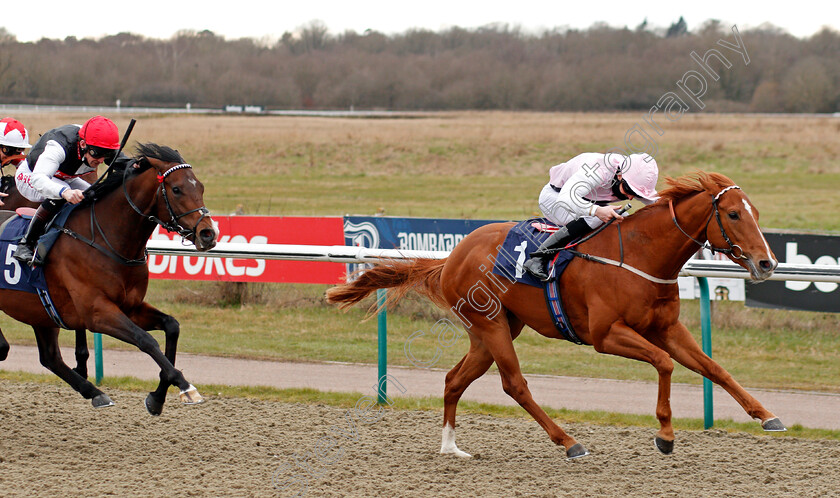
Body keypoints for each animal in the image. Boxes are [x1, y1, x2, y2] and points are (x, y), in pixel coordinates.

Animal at [0, 143, 218, 412]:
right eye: (176, 189)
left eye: (200, 187)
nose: (208, 234)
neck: (107, 241)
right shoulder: (97, 313)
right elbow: (146, 340)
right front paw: (186, 386)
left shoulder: (130, 306)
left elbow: (172, 326)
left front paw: (158, 397)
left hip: (38, 310)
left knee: (50, 357)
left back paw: (95, 392)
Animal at [326, 172, 780, 460]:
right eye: (734, 214)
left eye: (757, 213)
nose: (767, 263)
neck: (639, 254)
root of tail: (452, 256)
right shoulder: (606, 335)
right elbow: (664, 363)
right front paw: (665, 436)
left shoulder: (665, 327)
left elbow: (713, 367)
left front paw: (766, 416)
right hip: (491, 324)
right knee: (515, 384)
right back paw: (569, 442)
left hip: (493, 329)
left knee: (455, 379)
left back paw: (450, 446)